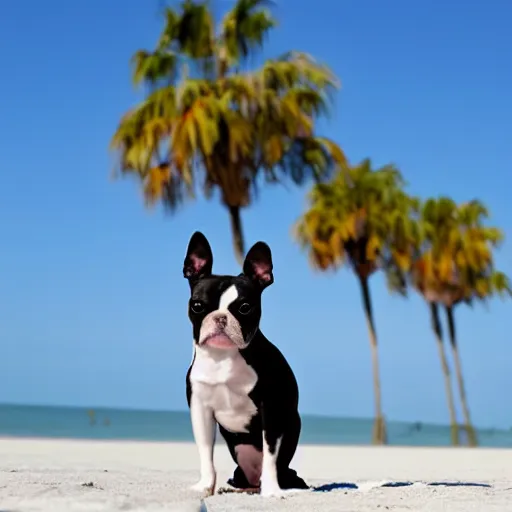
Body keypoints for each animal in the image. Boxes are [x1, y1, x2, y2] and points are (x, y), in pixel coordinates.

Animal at [183, 231, 308, 496]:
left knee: (282, 469)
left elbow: (270, 455)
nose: (220, 318)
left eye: (244, 307)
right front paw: (204, 486)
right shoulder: (200, 409)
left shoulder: (271, 410)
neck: (224, 357)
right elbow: (205, 452)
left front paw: (271, 491)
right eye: (197, 306)